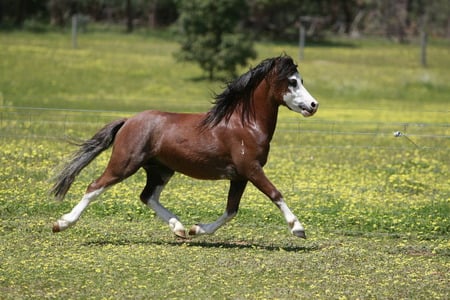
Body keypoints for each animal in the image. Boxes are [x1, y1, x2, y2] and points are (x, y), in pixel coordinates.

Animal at [51, 54, 318, 239]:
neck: (245, 125)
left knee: (147, 196)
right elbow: (275, 193)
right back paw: (61, 224)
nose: (314, 105)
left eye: (301, 80)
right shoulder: (251, 169)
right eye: (292, 82)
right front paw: (298, 228)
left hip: (160, 170)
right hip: (124, 164)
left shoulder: (240, 176)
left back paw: (178, 228)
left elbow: (231, 210)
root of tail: (128, 121)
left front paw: (196, 229)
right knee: (95, 186)